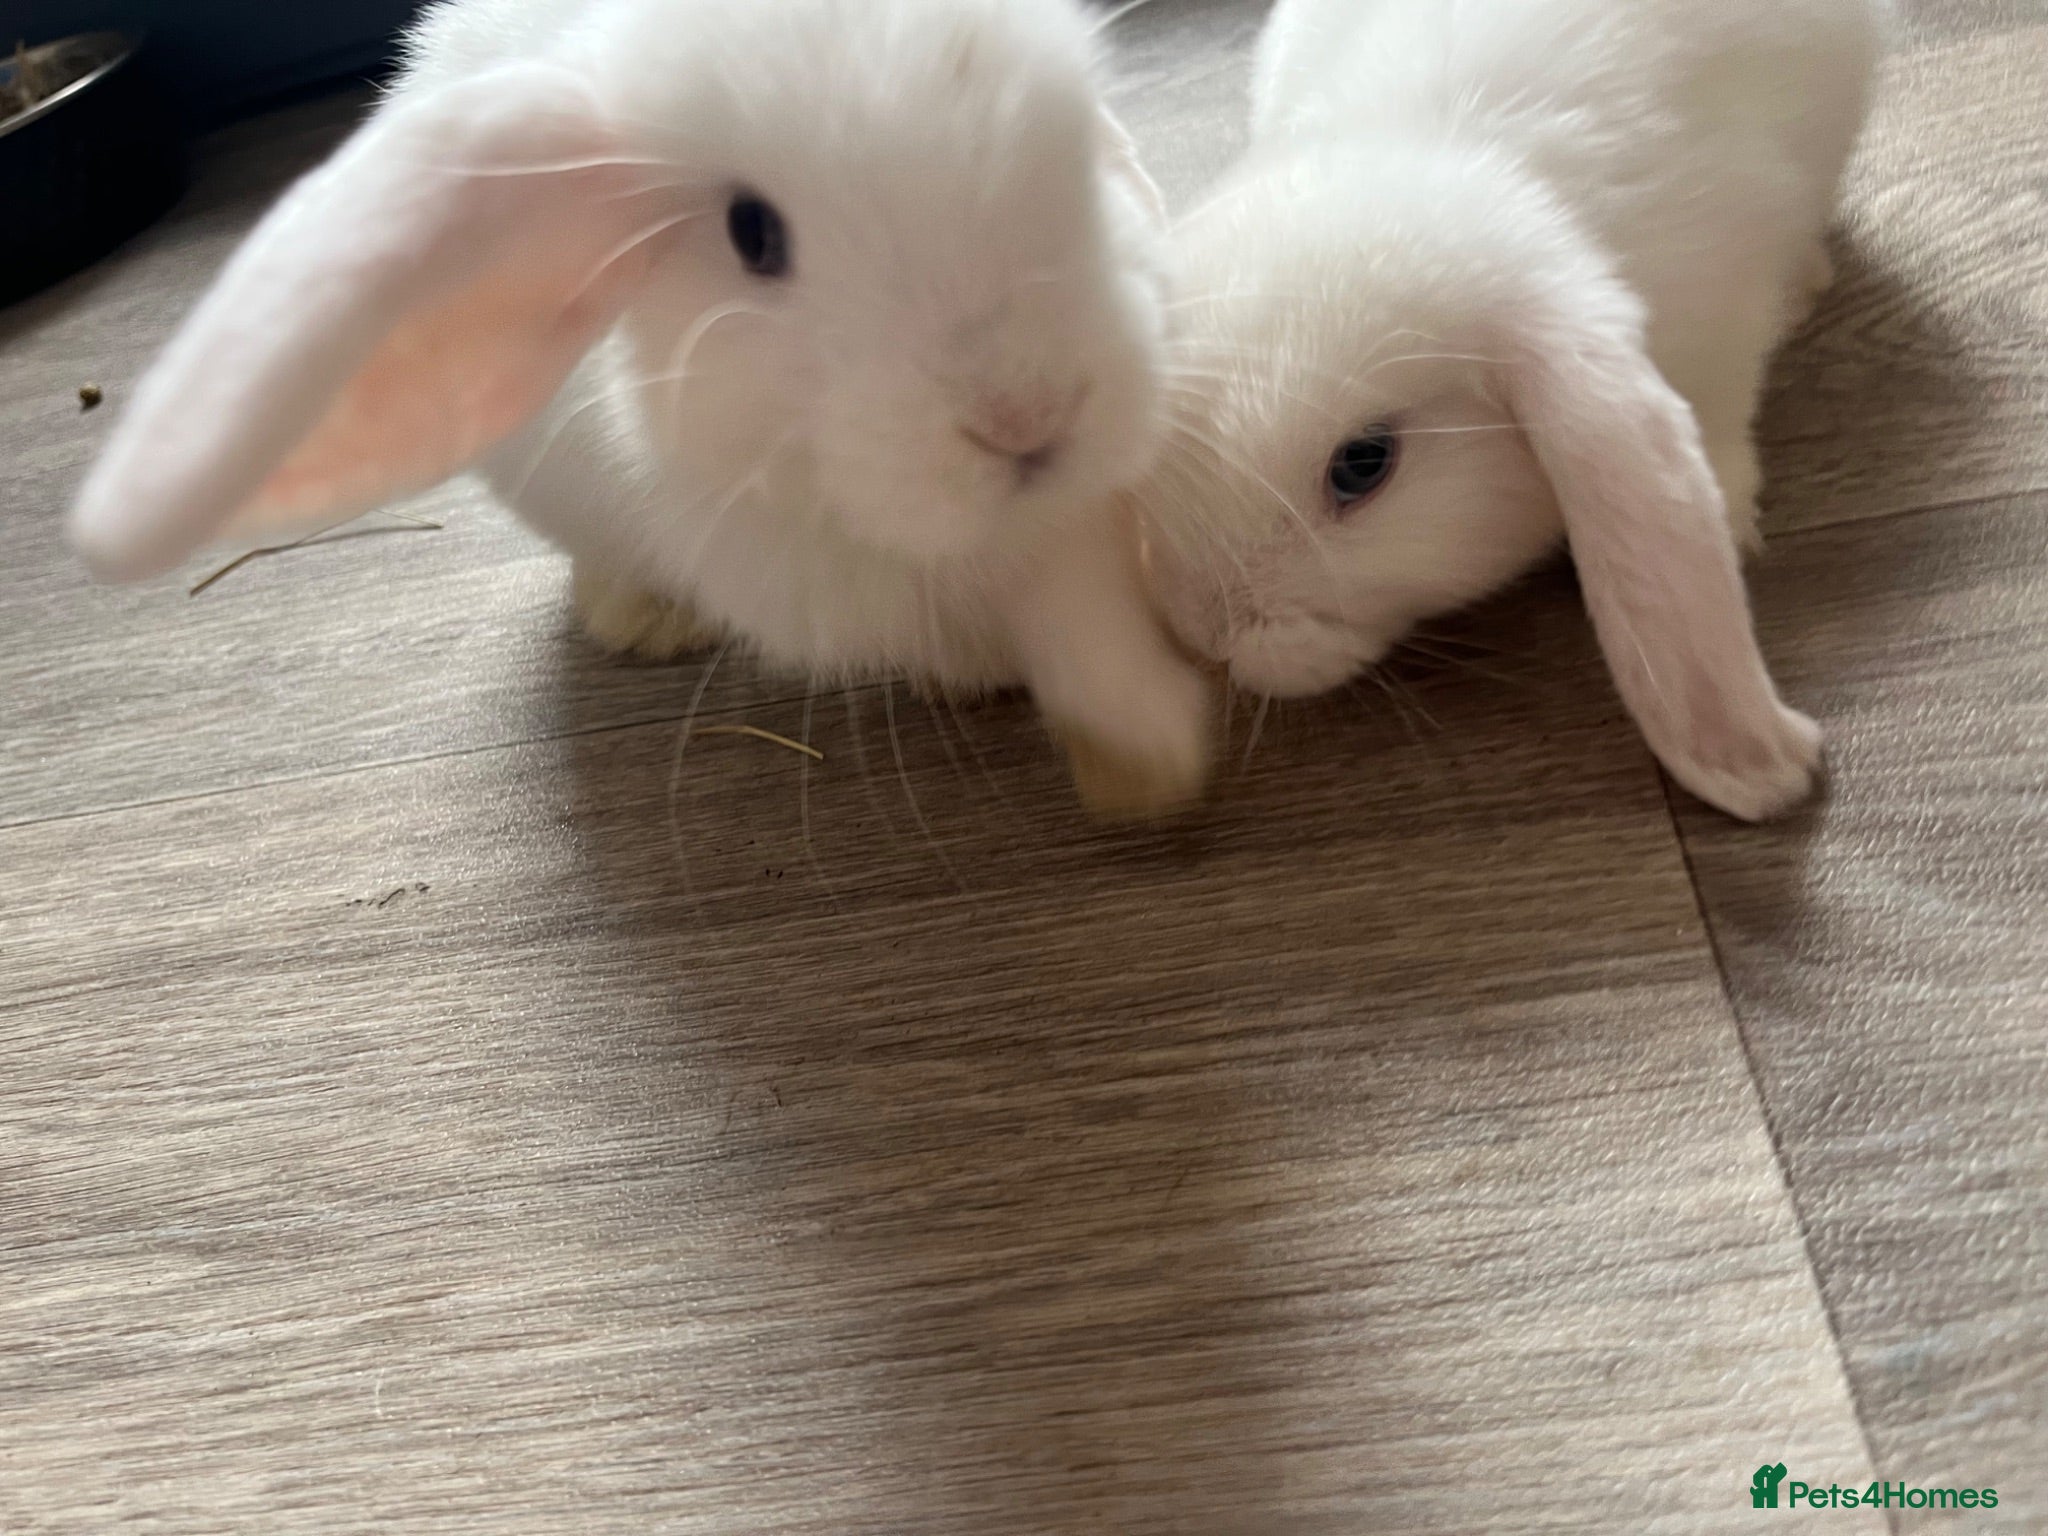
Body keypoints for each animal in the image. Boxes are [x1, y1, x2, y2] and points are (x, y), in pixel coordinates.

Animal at [67, 0, 1211, 818]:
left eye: (1079, 144)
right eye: (754, 234)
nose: (1029, 417)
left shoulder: (1083, 514)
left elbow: (1080, 610)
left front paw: (1151, 756)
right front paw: (1094, 735)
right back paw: (646, 622)